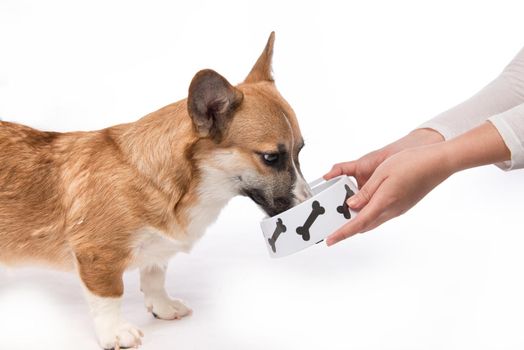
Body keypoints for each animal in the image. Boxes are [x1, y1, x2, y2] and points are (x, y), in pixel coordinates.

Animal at [0, 32, 312, 348]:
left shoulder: (157, 251)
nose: (308, 201)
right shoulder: (97, 256)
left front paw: (163, 307)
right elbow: (109, 297)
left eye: (300, 151)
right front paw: (115, 333)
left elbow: (154, 278)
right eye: (270, 157)